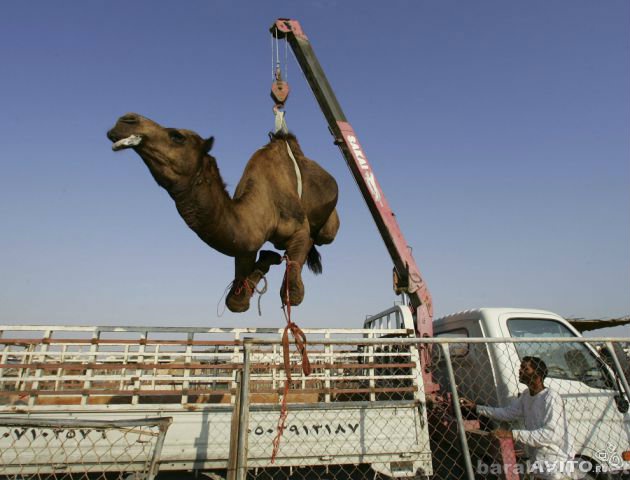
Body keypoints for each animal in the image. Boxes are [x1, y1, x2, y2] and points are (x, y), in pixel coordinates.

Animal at [107, 114, 340, 314]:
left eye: (177, 136)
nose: (126, 120)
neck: (265, 204)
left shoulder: (299, 228)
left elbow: (292, 291)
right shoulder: (246, 245)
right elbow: (235, 302)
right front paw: (268, 258)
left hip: (330, 227)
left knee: (321, 236)